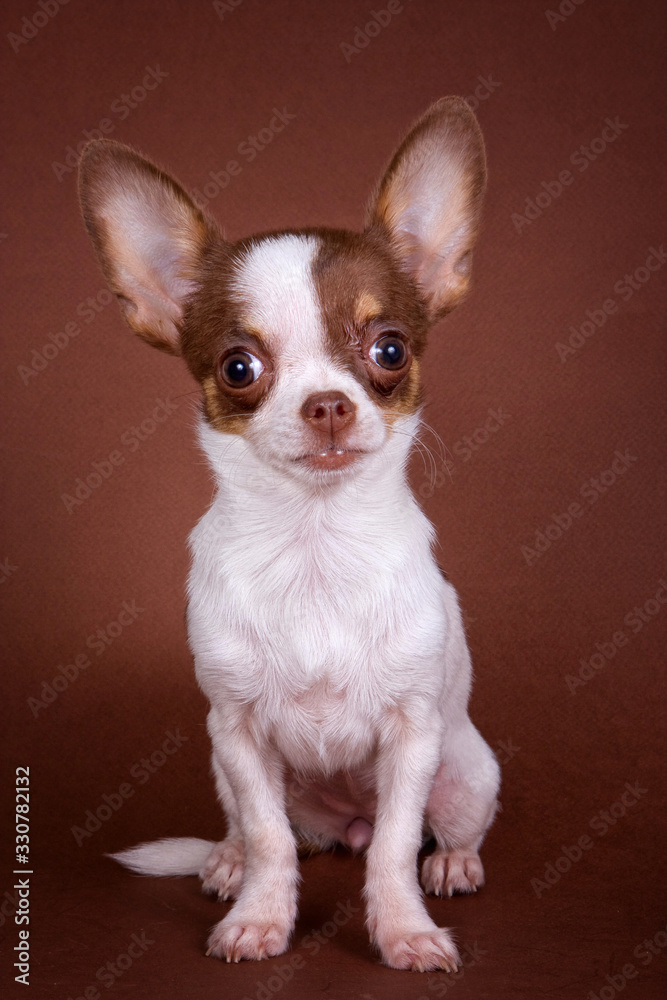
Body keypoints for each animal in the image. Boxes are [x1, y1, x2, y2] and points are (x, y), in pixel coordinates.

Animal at [78, 97, 498, 972]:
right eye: (238, 367)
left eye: (388, 349)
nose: (327, 403)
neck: (314, 542)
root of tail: (343, 821)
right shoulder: (237, 733)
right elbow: (272, 839)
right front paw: (260, 917)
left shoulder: (413, 737)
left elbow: (393, 849)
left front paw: (402, 930)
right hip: (223, 763)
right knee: (264, 828)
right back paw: (227, 861)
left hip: (466, 768)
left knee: (425, 831)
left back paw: (451, 863)